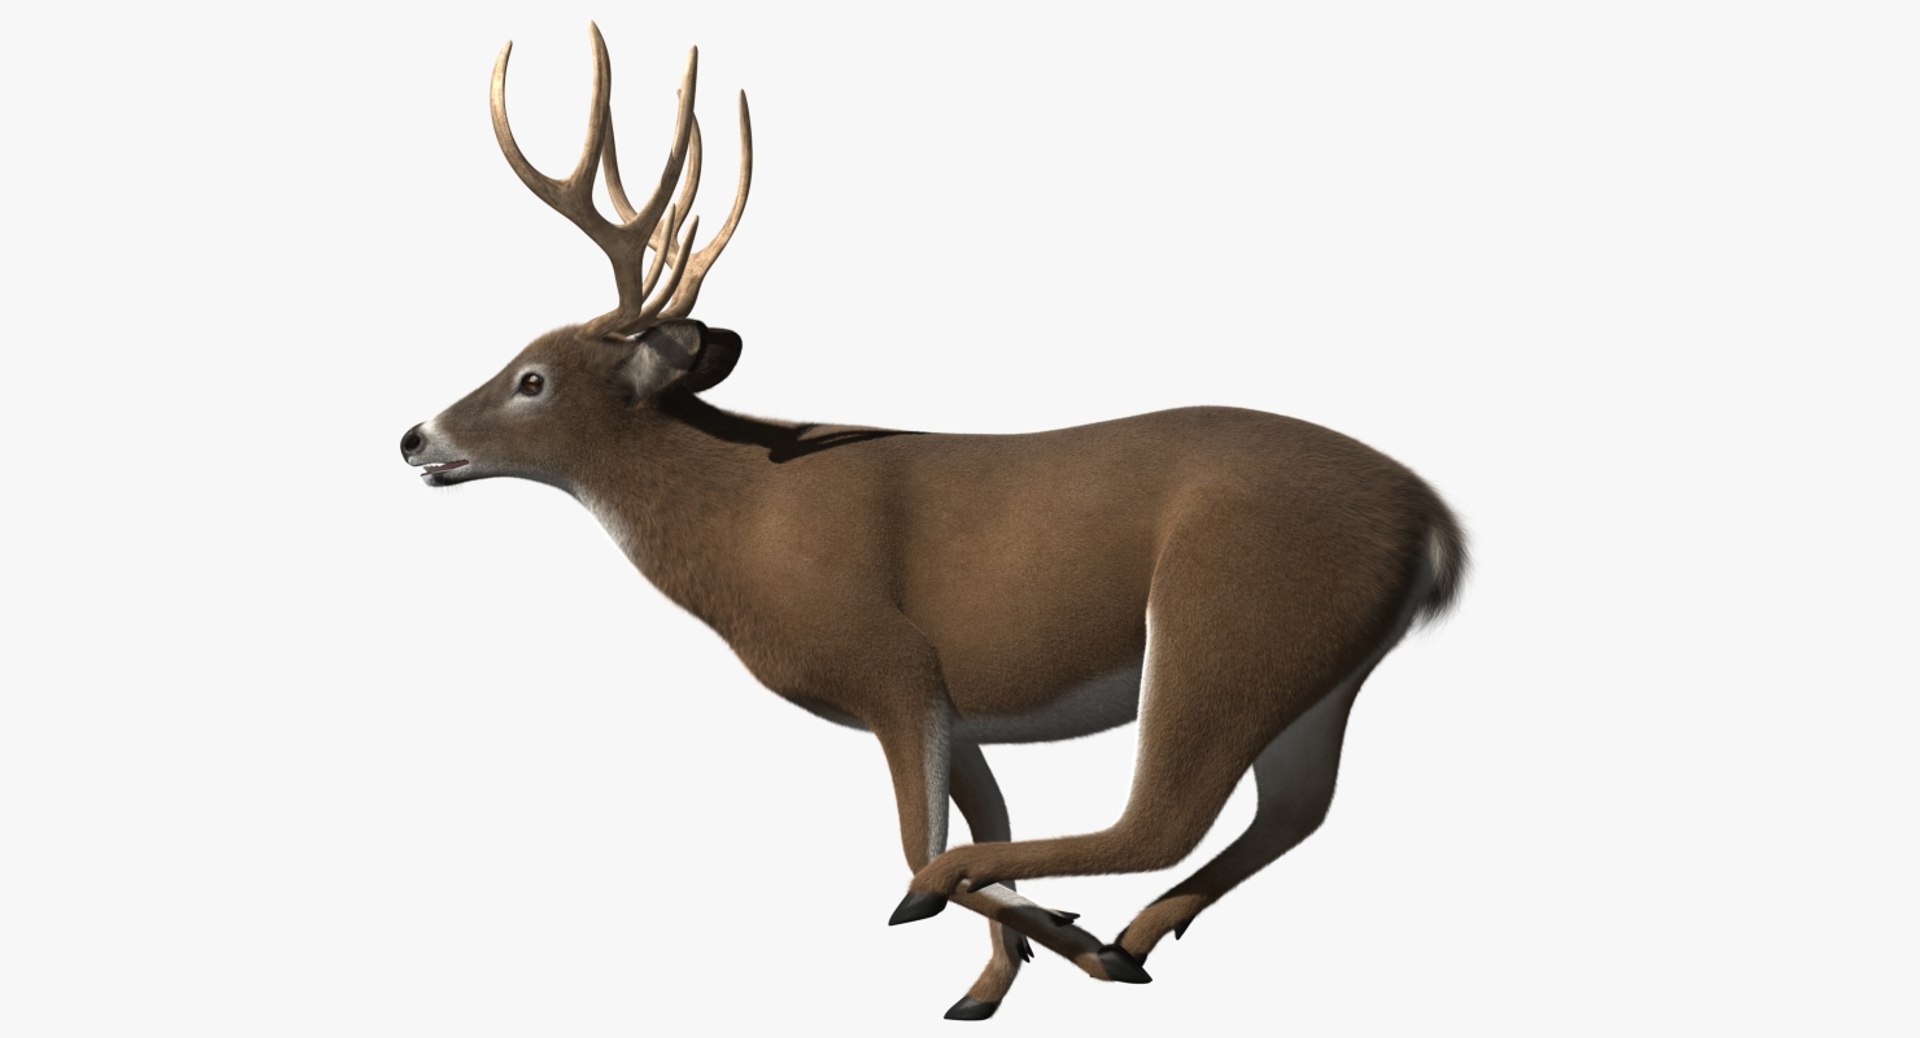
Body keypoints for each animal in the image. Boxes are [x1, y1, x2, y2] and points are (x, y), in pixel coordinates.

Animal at [400, 24, 1467, 1021]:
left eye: (532, 379)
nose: (414, 437)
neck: (744, 518)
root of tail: (1435, 521)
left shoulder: (891, 659)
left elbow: (925, 834)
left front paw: (1013, 929)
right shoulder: (957, 703)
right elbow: (987, 816)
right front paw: (990, 986)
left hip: (1233, 616)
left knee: (1159, 815)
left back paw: (1037, 921)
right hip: (1318, 666)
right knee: (1292, 810)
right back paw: (1129, 939)